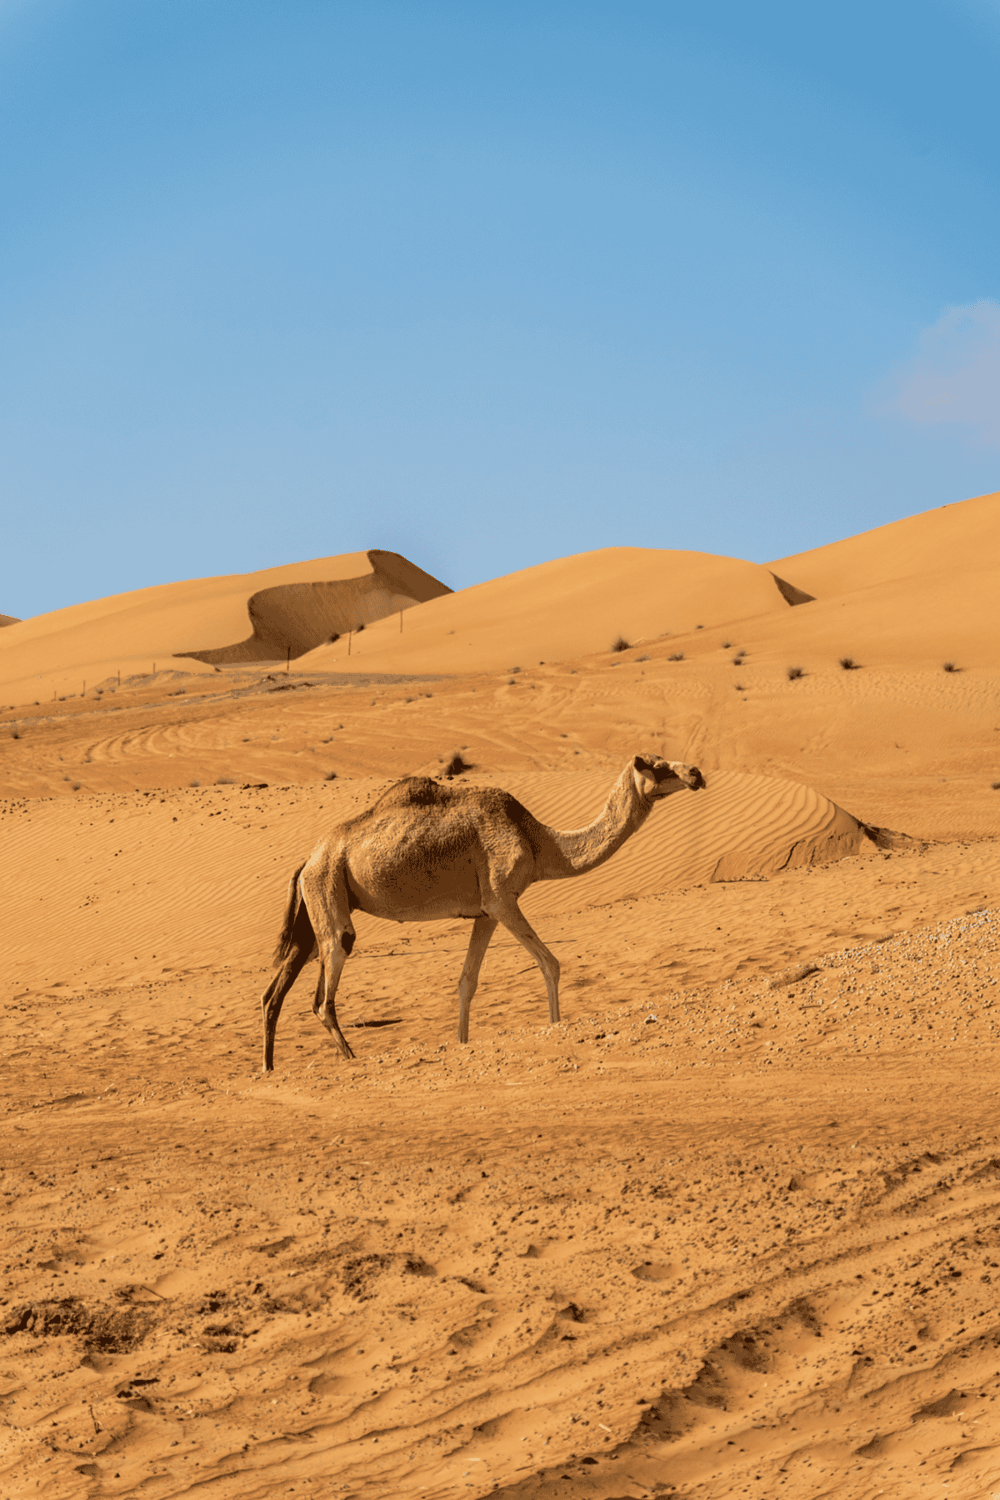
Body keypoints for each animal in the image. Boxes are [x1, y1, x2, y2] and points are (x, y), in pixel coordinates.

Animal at [260, 753, 705, 1071]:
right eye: (657, 764)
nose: (697, 773)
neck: (541, 842)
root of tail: (308, 860)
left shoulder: (484, 913)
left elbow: (466, 982)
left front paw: (462, 1042)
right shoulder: (502, 898)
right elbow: (550, 962)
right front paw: (556, 1026)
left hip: (314, 907)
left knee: (275, 991)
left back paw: (268, 1067)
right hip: (328, 890)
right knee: (326, 983)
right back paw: (350, 1058)